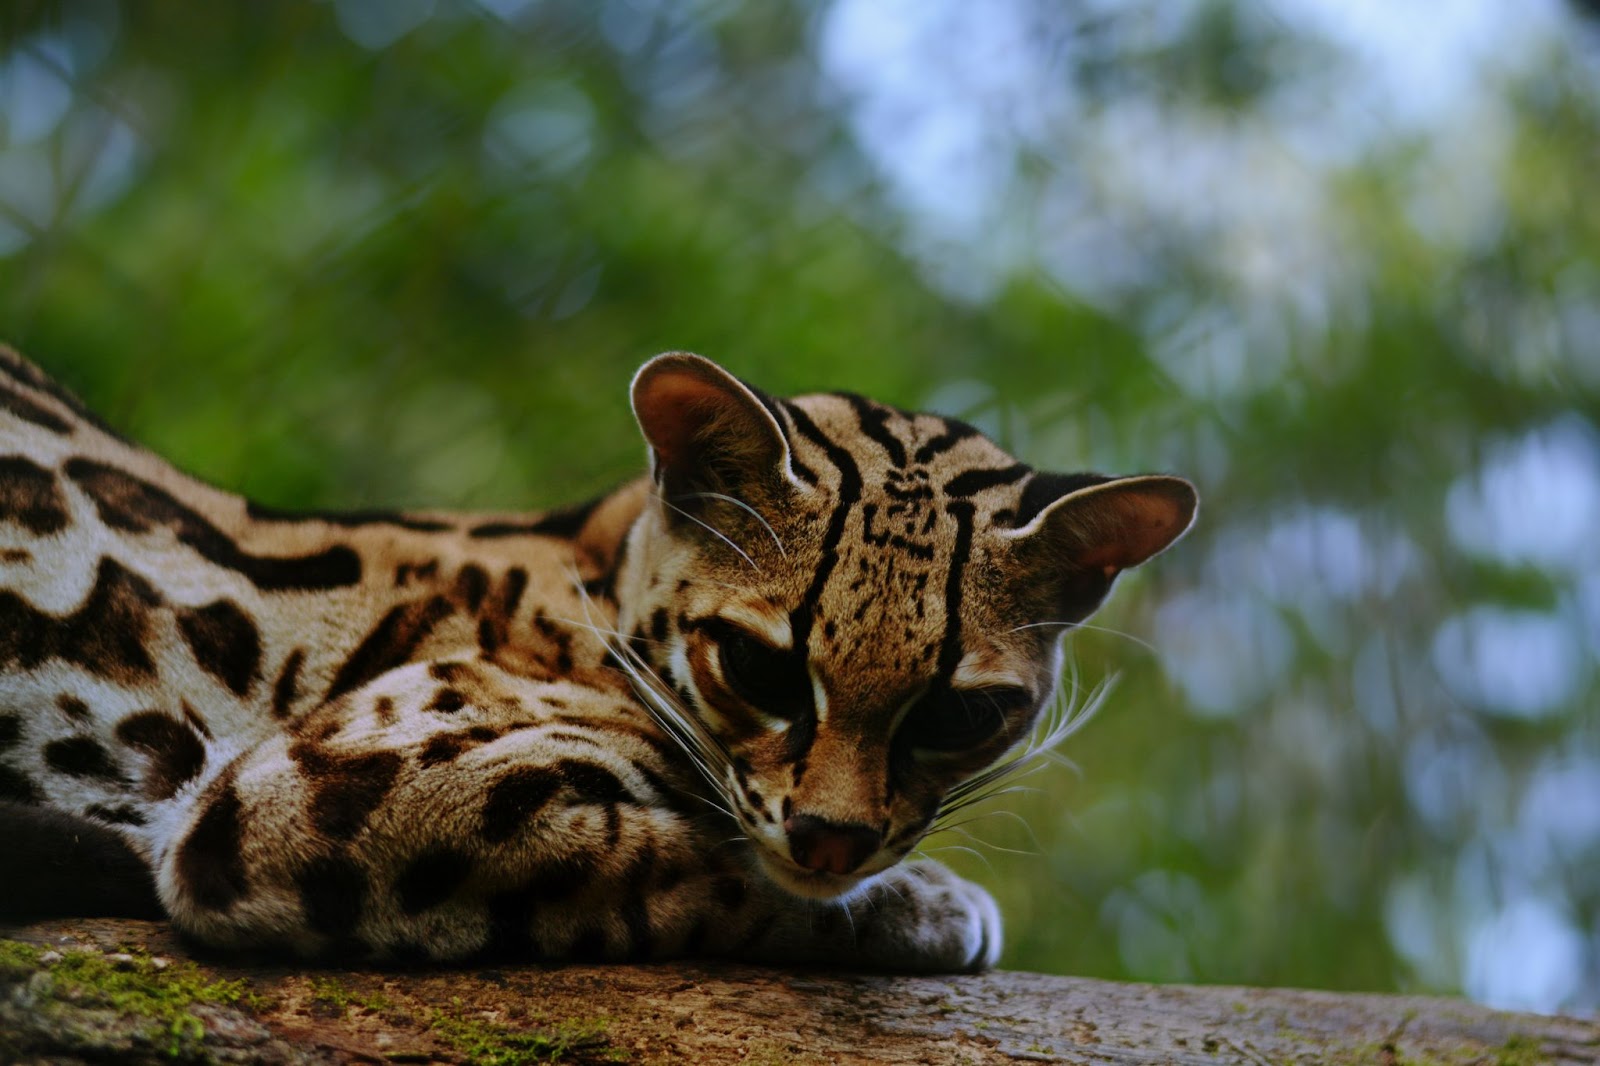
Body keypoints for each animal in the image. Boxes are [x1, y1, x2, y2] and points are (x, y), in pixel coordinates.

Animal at [0, 348, 1196, 973]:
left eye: (956, 717)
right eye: (760, 671)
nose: (833, 837)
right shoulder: (306, 799)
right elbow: (702, 869)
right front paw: (924, 906)